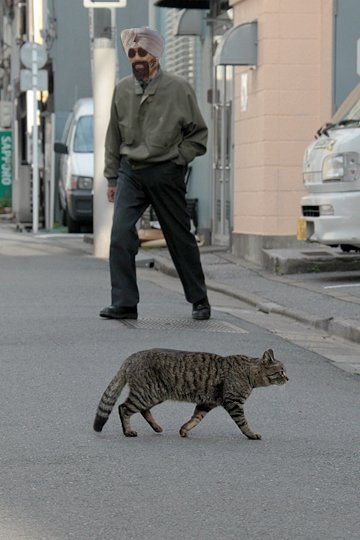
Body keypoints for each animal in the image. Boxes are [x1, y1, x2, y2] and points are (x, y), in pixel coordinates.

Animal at [93, 350, 286, 438]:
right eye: (281, 372)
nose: (288, 378)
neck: (250, 373)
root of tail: (132, 356)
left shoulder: (207, 403)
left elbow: (195, 418)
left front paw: (184, 430)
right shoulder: (234, 403)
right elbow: (243, 423)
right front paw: (251, 434)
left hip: (153, 395)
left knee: (142, 410)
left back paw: (156, 427)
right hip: (147, 393)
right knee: (123, 408)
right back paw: (128, 431)